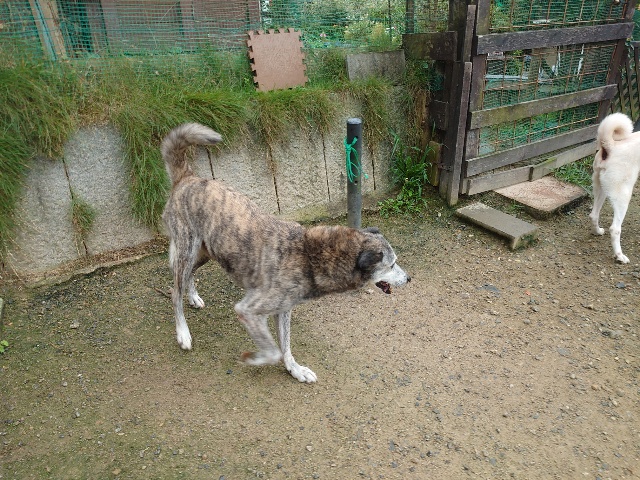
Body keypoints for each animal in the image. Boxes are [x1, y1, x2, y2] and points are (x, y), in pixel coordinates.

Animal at [161, 123, 410, 382]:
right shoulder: (248, 310)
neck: (309, 254)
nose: (409, 278)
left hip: (205, 253)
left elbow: (286, 347)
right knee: (174, 291)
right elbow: (273, 351)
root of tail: (187, 177)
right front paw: (253, 359)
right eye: (392, 265)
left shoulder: (283, 310)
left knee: (188, 276)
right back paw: (183, 332)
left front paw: (295, 369)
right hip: (186, 250)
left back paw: (193, 297)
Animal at [589, 112, 640, 264]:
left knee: (594, 214)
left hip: (601, 187)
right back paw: (619, 256)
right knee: (615, 229)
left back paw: (598, 231)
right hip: (623, 194)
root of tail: (611, 146)